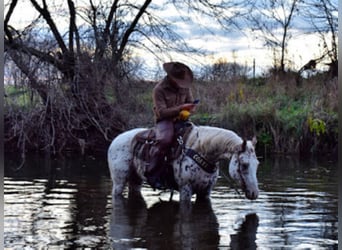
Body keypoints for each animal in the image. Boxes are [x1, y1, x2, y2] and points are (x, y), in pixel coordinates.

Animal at [107, 124, 260, 202]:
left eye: (257, 164)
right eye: (244, 165)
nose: (254, 193)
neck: (201, 150)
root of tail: (115, 140)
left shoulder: (206, 191)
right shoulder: (185, 189)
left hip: (136, 180)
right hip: (119, 181)